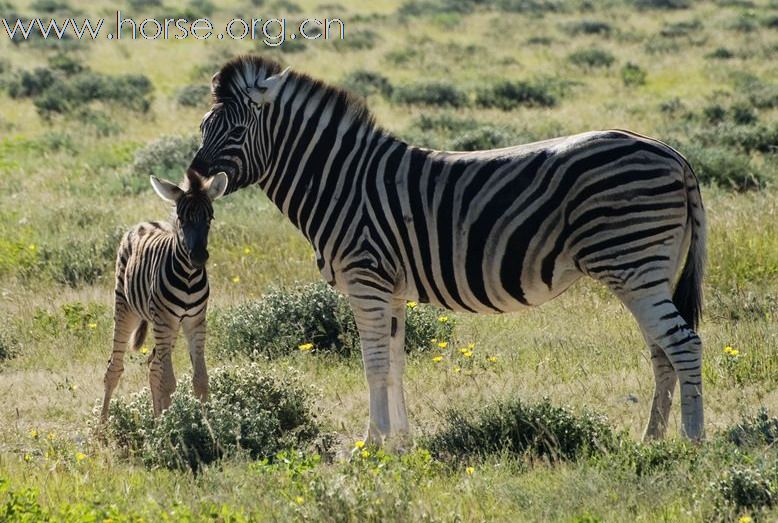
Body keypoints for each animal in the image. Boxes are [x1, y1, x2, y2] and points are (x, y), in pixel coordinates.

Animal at [101, 172, 227, 422]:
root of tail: (143, 222)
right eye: (181, 218)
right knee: (114, 368)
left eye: (210, 217)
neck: (188, 277)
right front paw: (173, 427)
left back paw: (158, 419)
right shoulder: (164, 321)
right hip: (127, 308)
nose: (199, 257)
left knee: (154, 366)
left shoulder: (195, 322)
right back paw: (102, 427)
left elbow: (200, 380)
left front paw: (206, 426)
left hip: (172, 326)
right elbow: (169, 382)